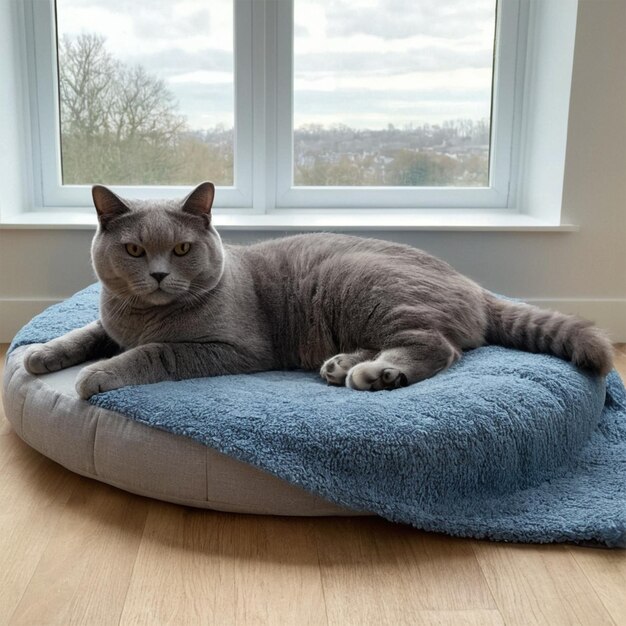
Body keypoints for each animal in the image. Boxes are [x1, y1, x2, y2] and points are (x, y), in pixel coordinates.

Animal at [23, 180, 608, 398]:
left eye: (183, 249)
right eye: (134, 251)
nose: (161, 274)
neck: (141, 316)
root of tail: (473, 284)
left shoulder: (232, 349)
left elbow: (155, 353)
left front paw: (96, 375)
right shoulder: (110, 321)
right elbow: (86, 332)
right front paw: (41, 355)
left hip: (362, 282)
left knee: (438, 346)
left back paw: (375, 373)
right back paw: (342, 364)